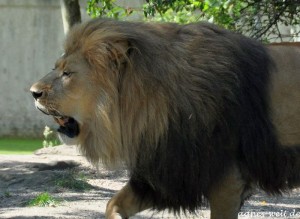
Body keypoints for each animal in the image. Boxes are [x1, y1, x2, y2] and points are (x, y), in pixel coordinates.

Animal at [29, 19, 300, 219]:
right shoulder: (165, 171)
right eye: (56, 67)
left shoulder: (228, 180)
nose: (33, 92)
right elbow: (112, 205)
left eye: (68, 73)